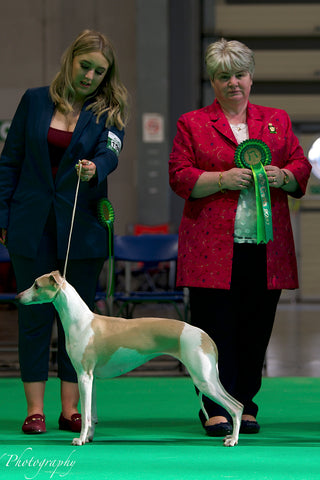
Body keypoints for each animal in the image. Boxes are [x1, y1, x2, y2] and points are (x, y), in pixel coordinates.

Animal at [17, 270, 242, 446]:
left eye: (36, 285)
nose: (17, 298)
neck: (80, 321)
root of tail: (205, 336)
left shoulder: (84, 376)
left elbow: (86, 415)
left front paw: (80, 439)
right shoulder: (92, 379)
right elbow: (92, 414)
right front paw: (89, 437)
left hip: (203, 380)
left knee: (235, 407)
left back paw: (233, 440)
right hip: (210, 378)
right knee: (236, 404)